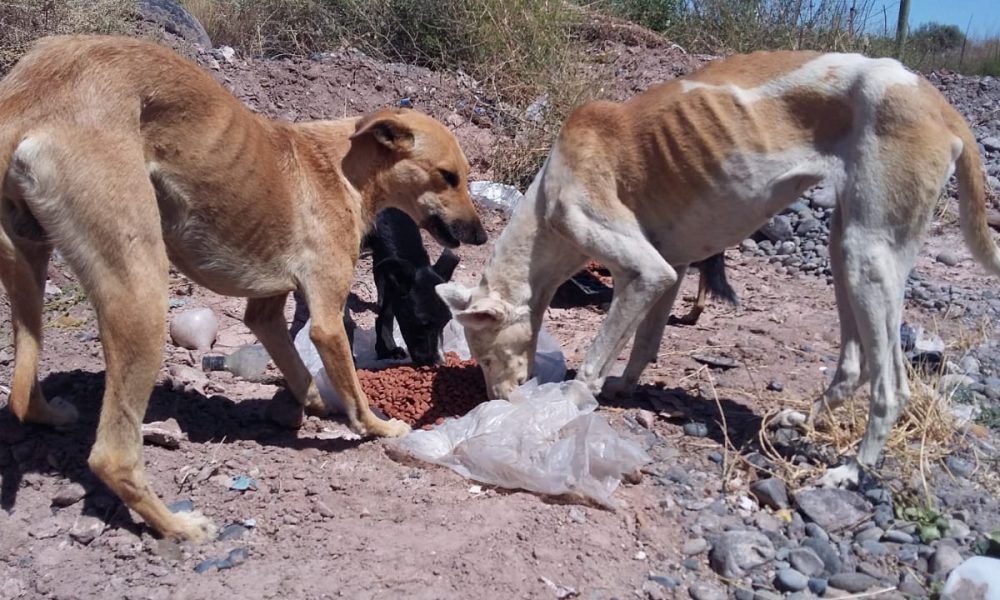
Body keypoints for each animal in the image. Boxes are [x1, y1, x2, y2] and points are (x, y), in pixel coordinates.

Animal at [290, 206, 460, 366]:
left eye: (446, 321)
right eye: (420, 323)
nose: (437, 362)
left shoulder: (387, 262)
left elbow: (387, 311)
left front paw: (387, 348)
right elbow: (345, 318)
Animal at [440, 50, 1000, 488]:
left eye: (485, 357)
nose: (498, 402)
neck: (547, 207)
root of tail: (940, 104)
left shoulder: (645, 270)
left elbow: (598, 355)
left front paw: (571, 400)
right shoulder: (670, 268)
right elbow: (644, 343)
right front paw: (623, 387)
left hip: (869, 257)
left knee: (891, 387)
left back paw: (853, 469)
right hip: (846, 250)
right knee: (853, 366)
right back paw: (805, 419)